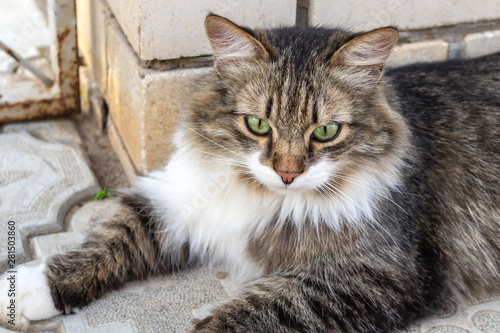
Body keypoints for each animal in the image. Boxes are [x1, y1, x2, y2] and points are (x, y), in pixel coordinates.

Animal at [0, 13, 500, 332]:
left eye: (326, 131)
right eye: (258, 124)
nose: (287, 173)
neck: (264, 196)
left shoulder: (373, 274)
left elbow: (251, 312)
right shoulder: (177, 199)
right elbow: (105, 243)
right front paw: (24, 290)